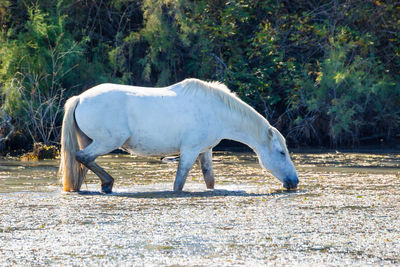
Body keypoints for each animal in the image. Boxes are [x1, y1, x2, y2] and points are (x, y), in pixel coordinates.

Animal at [58, 78, 296, 194]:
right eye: (282, 152)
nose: (294, 181)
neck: (216, 110)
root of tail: (80, 98)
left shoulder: (205, 151)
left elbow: (209, 180)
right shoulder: (189, 151)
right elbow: (179, 183)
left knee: (82, 163)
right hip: (107, 142)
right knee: (83, 157)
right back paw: (108, 183)